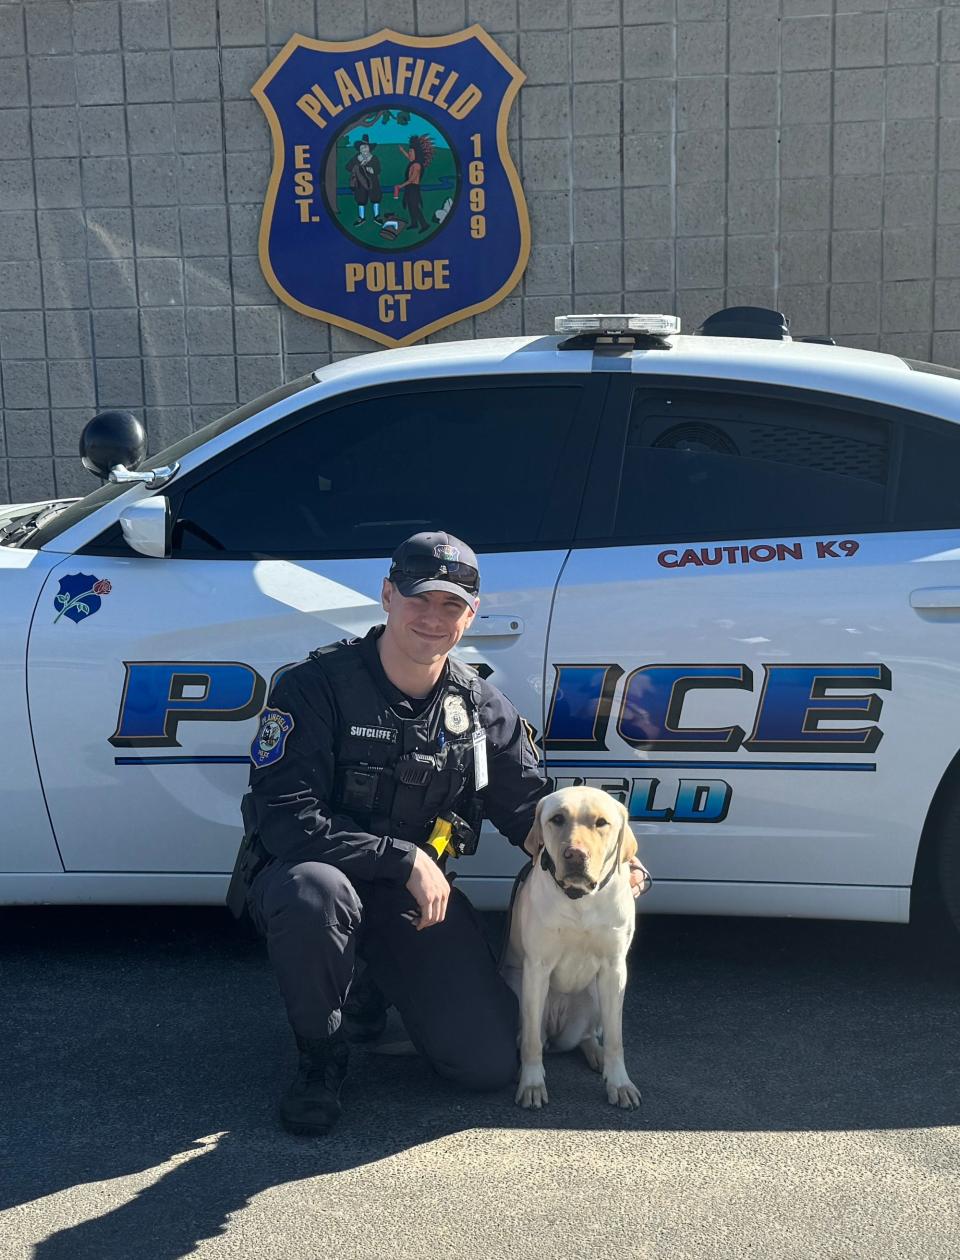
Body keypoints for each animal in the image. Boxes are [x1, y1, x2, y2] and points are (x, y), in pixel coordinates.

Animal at [496, 786, 640, 1113]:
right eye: (557, 819)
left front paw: (619, 1083)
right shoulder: (536, 968)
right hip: (518, 988)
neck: (579, 899)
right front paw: (532, 1084)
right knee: (532, 1036)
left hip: (596, 997)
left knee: (587, 1036)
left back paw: (596, 1053)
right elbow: (532, 1043)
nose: (575, 855)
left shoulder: (615, 969)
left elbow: (616, 1038)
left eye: (601, 823)